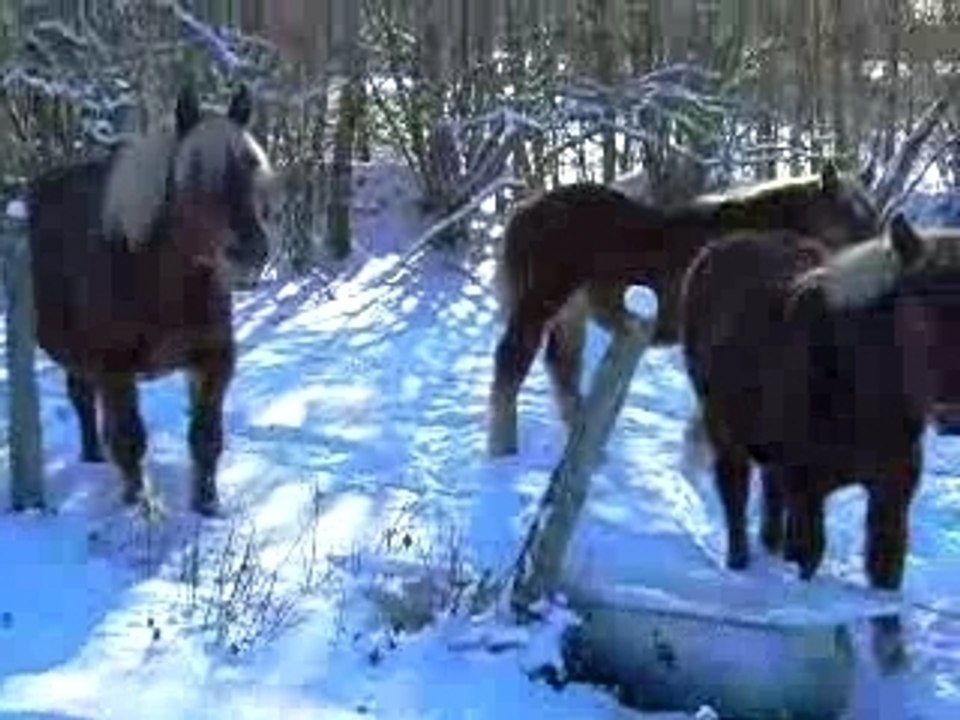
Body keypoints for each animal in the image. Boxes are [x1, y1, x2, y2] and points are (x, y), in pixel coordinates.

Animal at [26, 83, 276, 516]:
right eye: (195, 173)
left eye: (252, 168)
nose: (251, 254)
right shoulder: (115, 368)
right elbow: (129, 439)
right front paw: (140, 507)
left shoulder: (215, 359)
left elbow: (206, 437)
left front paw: (207, 505)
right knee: (82, 400)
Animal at [487, 162, 880, 457]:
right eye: (849, 216)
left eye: (871, 216)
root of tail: (525, 210)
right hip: (541, 304)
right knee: (512, 362)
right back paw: (504, 450)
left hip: (571, 315)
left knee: (563, 367)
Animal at [678, 213, 960, 598]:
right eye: (919, 313)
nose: (952, 413)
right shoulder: (807, 487)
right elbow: (809, 556)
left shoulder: (892, 493)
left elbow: (885, 570)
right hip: (724, 431)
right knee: (734, 494)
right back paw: (739, 563)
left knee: (770, 494)